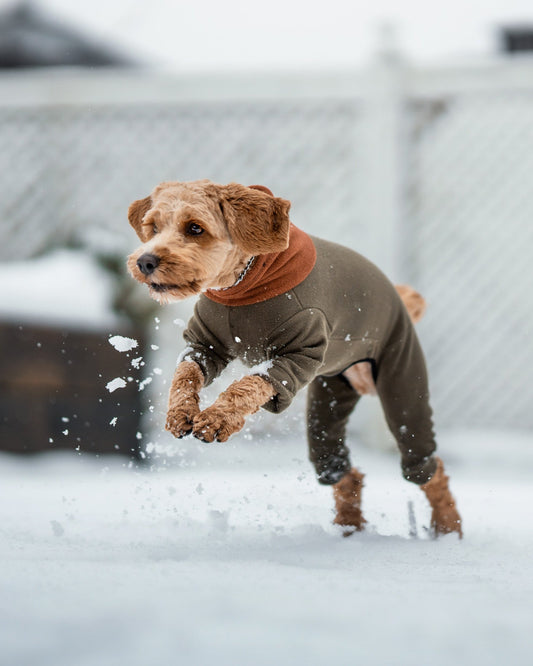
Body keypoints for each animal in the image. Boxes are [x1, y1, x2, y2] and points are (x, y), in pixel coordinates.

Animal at [128, 179, 462, 536]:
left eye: (195, 228)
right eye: (153, 227)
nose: (145, 262)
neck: (242, 287)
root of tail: (399, 300)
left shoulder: (297, 357)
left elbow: (246, 386)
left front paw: (217, 418)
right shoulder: (204, 345)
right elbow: (186, 375)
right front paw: (180, 413)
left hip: (402, 384)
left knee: (428, 467)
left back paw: (448, 528)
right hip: (327, 403)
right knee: (342, 470)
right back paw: (348, 531)